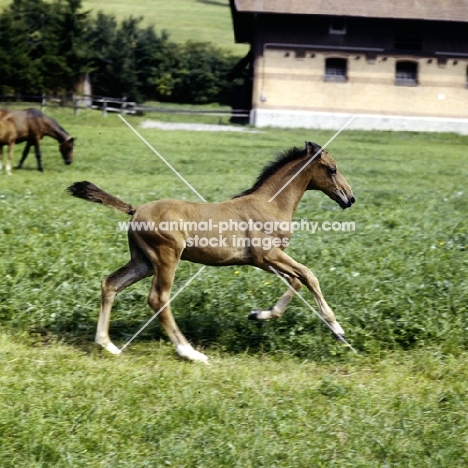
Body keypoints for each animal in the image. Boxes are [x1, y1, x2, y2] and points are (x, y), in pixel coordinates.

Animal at [67, 142, 356, 362]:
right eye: (332, 169)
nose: (349, 198)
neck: (270, 205)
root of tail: (135, 210)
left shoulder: (265, 261)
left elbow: (296, 281)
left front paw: (259, 315)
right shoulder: (268, 256)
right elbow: (308, 275)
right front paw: (339, 330)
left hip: (143, 262)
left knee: (110, 283)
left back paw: (108, 344)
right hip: (166, 257)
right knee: (158, 299)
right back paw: (190, 352)